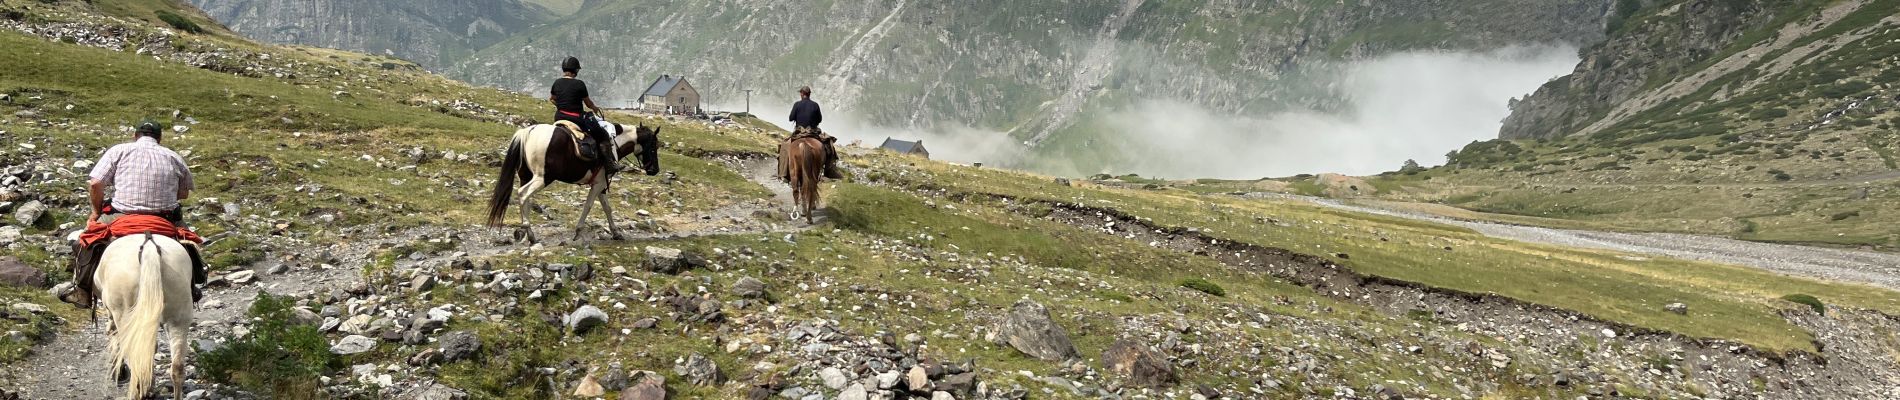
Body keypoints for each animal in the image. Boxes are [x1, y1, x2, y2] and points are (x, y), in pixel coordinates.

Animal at [97, 233, 195, 398]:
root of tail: (150, 248)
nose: (120, 375)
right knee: (177, 367)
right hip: (179, 316)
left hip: (126, 316)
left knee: (136, 360)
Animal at [482, 121, 661, 240]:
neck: (613, 144)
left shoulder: (601, 185)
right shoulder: (599, 184)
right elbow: (589, 206)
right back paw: (527, 229)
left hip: (526, 175)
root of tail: (528, 132)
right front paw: (578, 231)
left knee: (526, 197)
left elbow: (607, 208)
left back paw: (528, 232)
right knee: (523, 193)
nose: (654, 170)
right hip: (543, 177)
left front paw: (616, 232)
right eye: (654, 146)